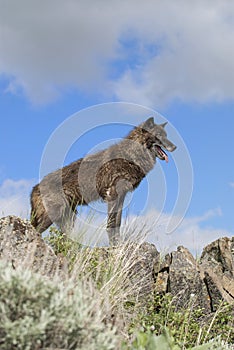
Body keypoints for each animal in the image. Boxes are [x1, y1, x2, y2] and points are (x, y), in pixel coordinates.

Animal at [31, 117, 177, 243]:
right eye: (159, 135)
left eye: (166, 135)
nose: (175, 147)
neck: (131, 156)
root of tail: (35, 187)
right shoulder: (113, 195)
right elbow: (111, 224)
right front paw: (114, 246)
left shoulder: (121, 196)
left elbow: (117, 223)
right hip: (53, 215)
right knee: (36, 230)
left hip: (69, 218)